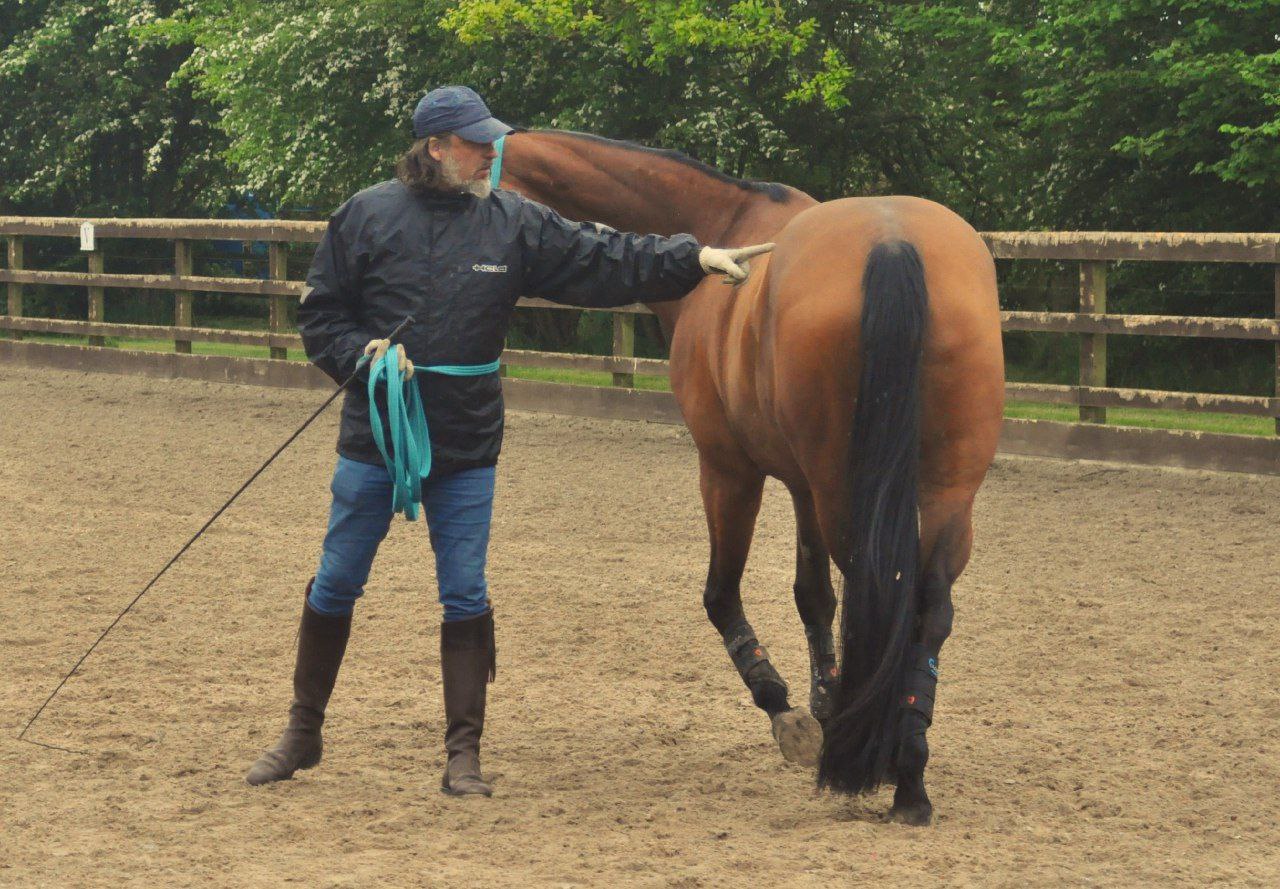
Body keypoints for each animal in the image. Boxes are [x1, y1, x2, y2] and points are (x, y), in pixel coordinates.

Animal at [495, 129, 1004, 825]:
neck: (722, 224)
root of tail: (892, 240)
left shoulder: (729, 469)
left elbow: (723, 595)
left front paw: (786, 708)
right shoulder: (802, 484)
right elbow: (814, 596)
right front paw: (825, 702)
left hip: (842, 491)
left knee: (879, 594)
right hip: (945, 492)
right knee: (928, 607)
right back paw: (909, 775)